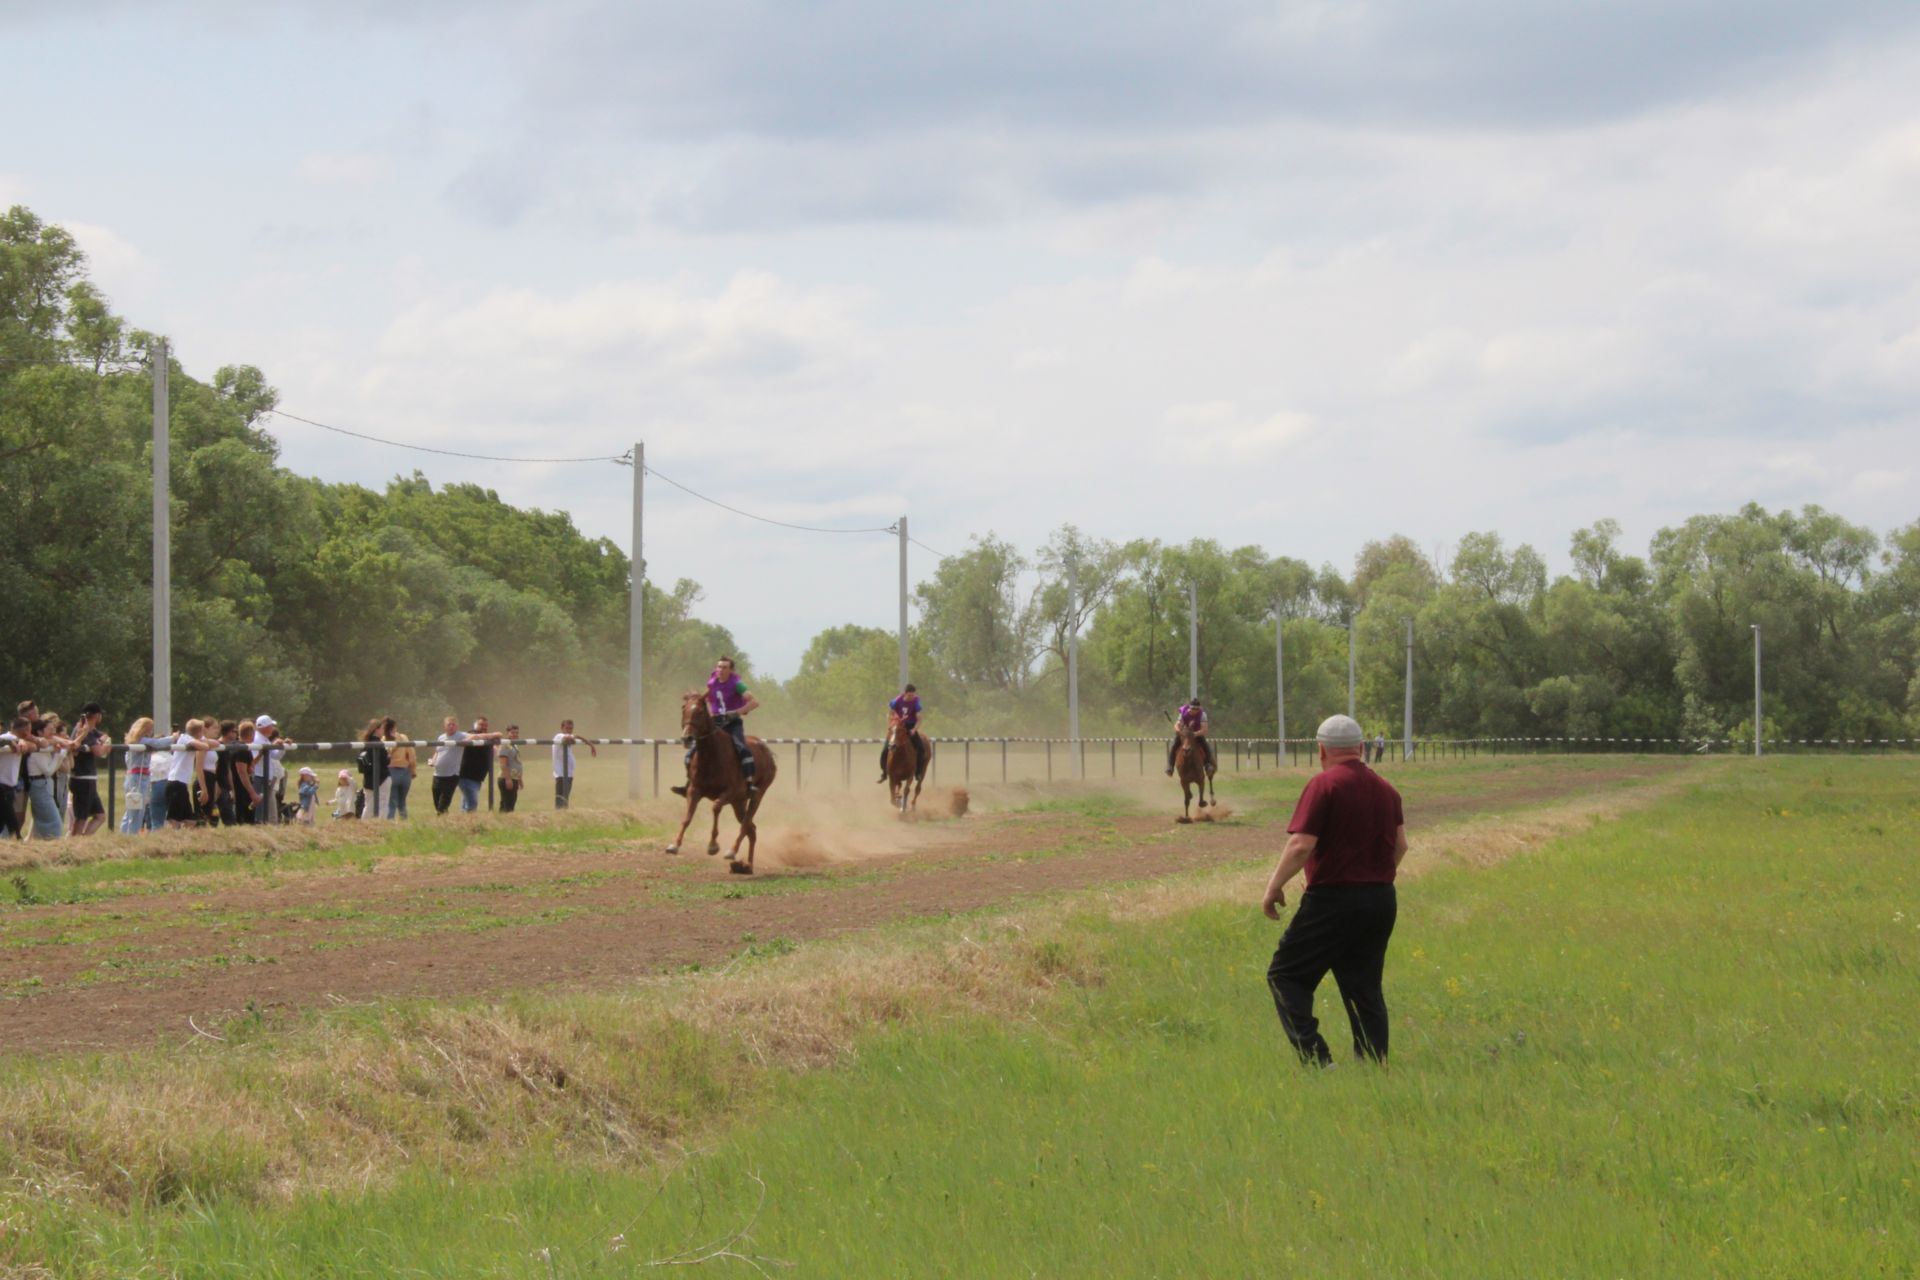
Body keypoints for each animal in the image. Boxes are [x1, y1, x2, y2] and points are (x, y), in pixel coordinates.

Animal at [664, 694, 775, 875]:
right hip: (739, 803)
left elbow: (715, 807)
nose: (687, 738)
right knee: (752, 829)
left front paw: (713, 846)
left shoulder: (730, 792)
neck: (712, 755)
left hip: (756, 795)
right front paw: (674, 845)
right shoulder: (694, 791)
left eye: (700, 711)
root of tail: (768, 752)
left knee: (746, 825)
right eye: (683, 709)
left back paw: (732, 851)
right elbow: (687, 817)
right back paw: (747, 866)